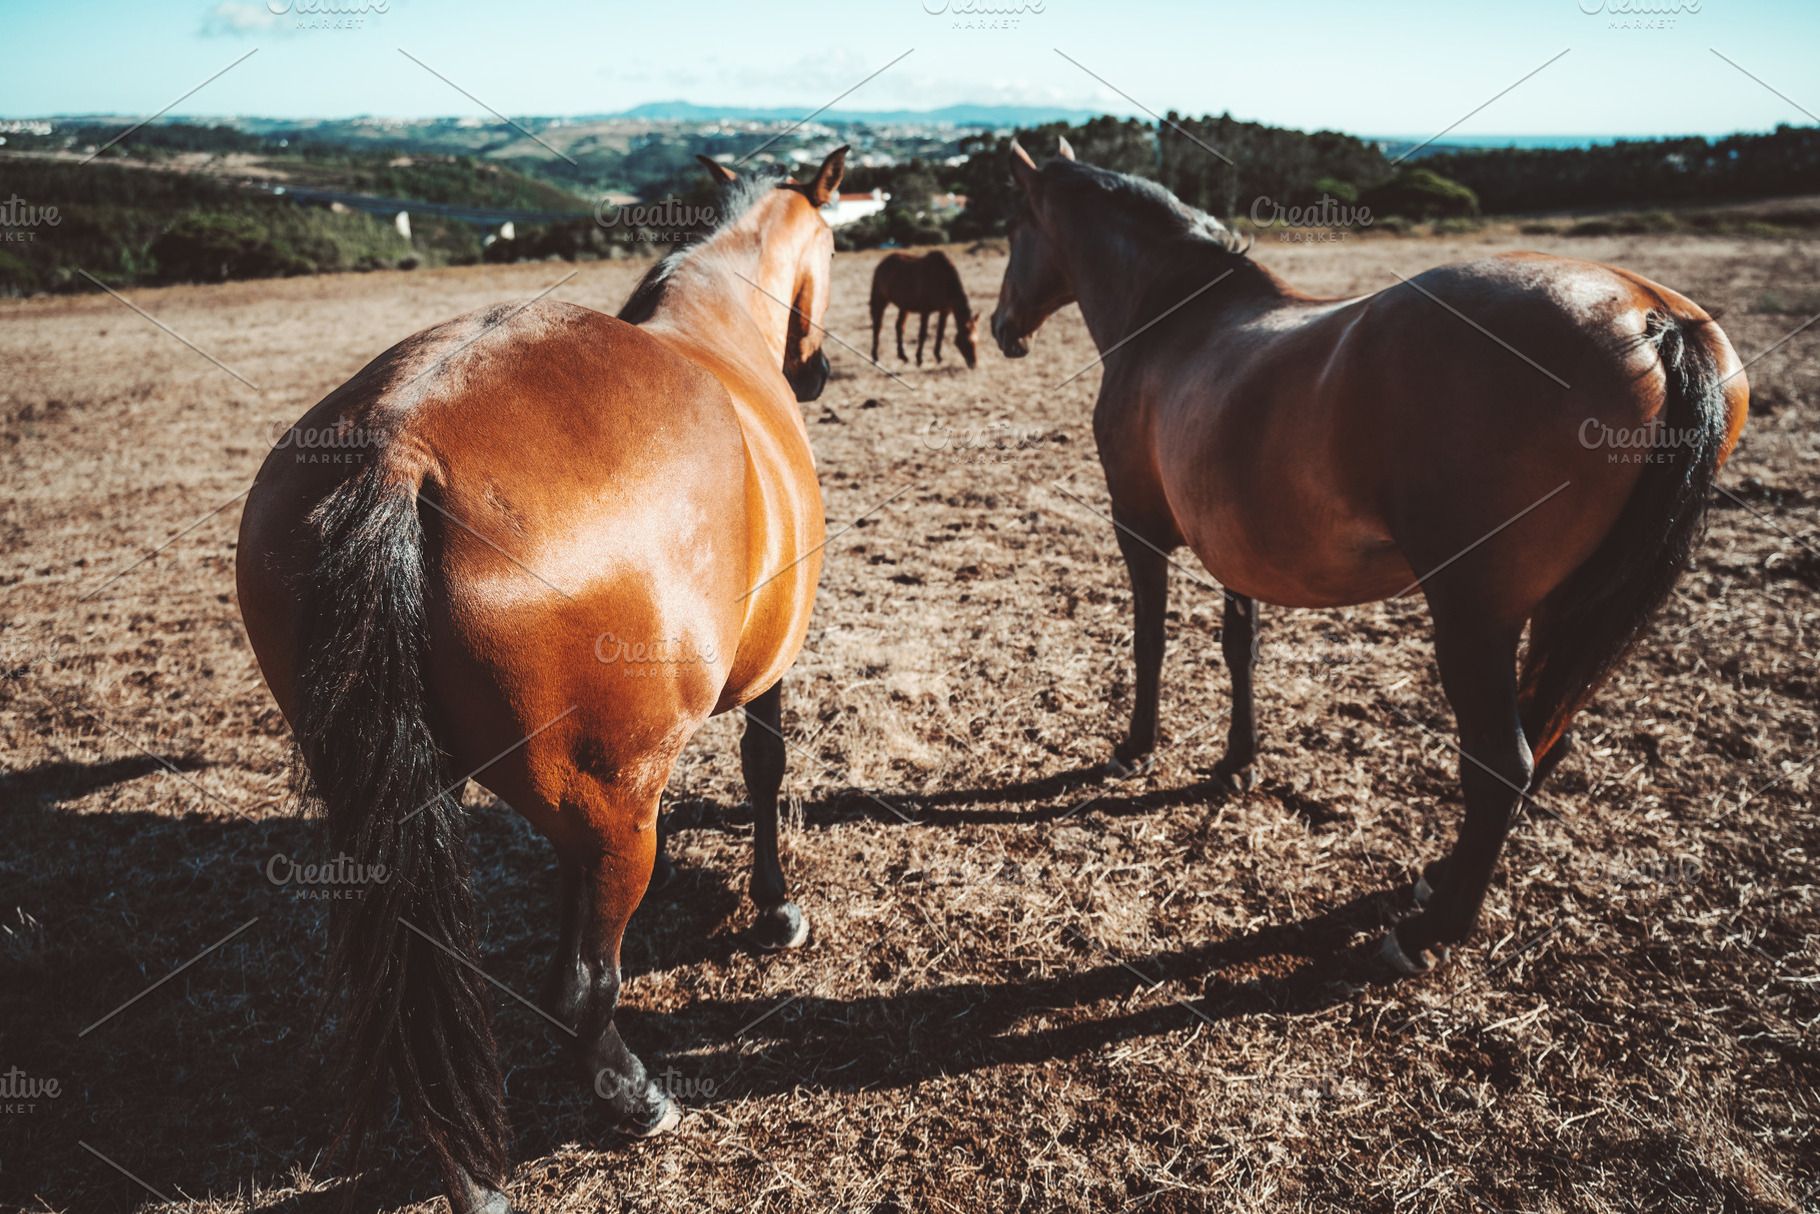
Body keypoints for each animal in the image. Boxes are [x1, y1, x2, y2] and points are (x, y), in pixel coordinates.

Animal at [236, 146, 848, 1214]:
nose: (814, 372)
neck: (715, 331)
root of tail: (399, 451)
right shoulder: (766, 670)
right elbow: (766, 772)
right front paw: (777, 911)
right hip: (618, 802)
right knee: (584, 990)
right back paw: (631, 1097)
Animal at [989, 138, 1747, 976]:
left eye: (1013, 229)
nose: (999, 327)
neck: (1175, 315)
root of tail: (1653, 316)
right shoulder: (1235, 554)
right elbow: (1239, 648)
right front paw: (1237, 763)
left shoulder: (1138, 528)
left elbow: (1149, 642)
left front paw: (1135, 749)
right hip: (1566, 615)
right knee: (1545, 739)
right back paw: (1438, 879)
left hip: (1475, 617)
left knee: (1504, 764)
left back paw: (1429, 930)